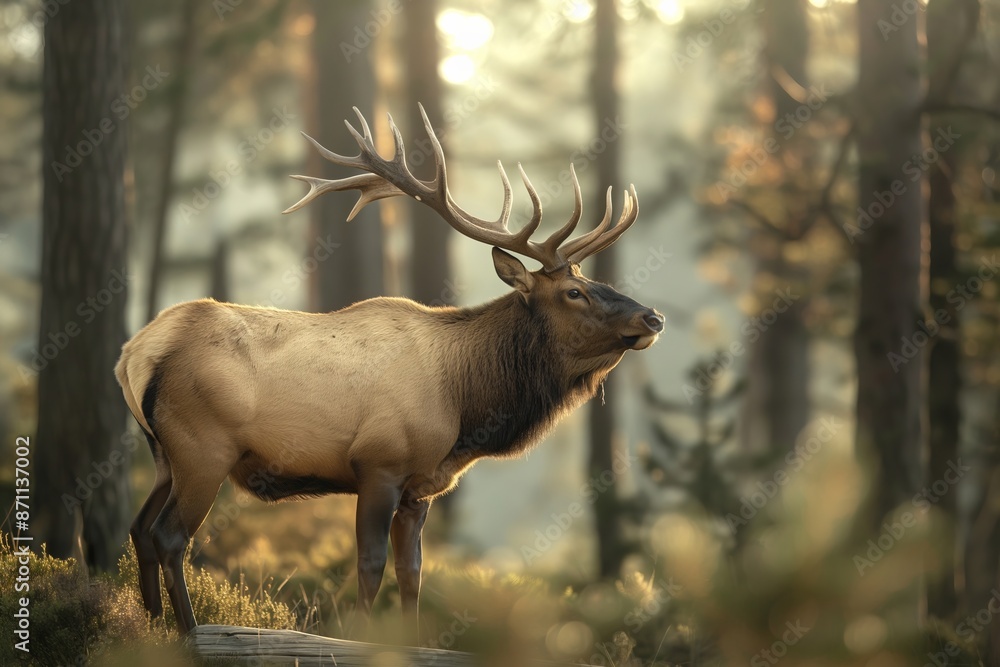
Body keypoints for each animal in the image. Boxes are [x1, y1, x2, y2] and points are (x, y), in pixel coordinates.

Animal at [115, 105, 664, 637]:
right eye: (575, 292)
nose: (652, 317)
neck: (465, 404)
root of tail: (135, 352)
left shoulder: (421, 487)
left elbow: (412, 572)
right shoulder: (379, 464)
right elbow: (370, 565)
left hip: (164, 453)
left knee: (139, 529)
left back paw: (153, 630)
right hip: (203, 448)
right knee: (169, 536)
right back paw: (188, 633)